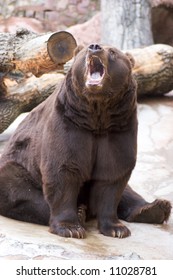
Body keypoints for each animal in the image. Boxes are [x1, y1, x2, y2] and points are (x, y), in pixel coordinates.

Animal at [0, 43, 171, 238]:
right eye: (85, 49)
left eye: (113, 52)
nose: (95, 47)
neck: (97, 114)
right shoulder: (69, 123)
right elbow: (63, 169)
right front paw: (70, 227)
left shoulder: (119, 128)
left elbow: (113, 175)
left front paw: (116, 228)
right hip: (18, 164)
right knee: (18, 189)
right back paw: (81, 212)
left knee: (129, 191)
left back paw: (156, 208)